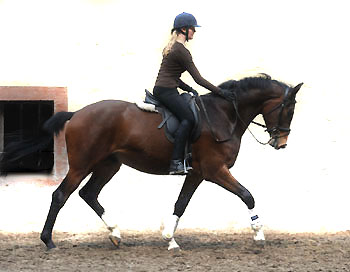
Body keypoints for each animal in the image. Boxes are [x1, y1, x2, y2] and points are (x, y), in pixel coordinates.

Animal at [0, 75, 302, 251]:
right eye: (288, 108)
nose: (281, 142)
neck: (223, 114)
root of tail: (76, 114)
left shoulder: (197, 173)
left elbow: (181, 204)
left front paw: (169, 238)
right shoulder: (215, 170)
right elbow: (247, 195)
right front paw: (259, 235)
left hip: (109, 165)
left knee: (89, 193)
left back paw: (115, 233)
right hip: (82, 165)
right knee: (61, 195)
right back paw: (48, 241)